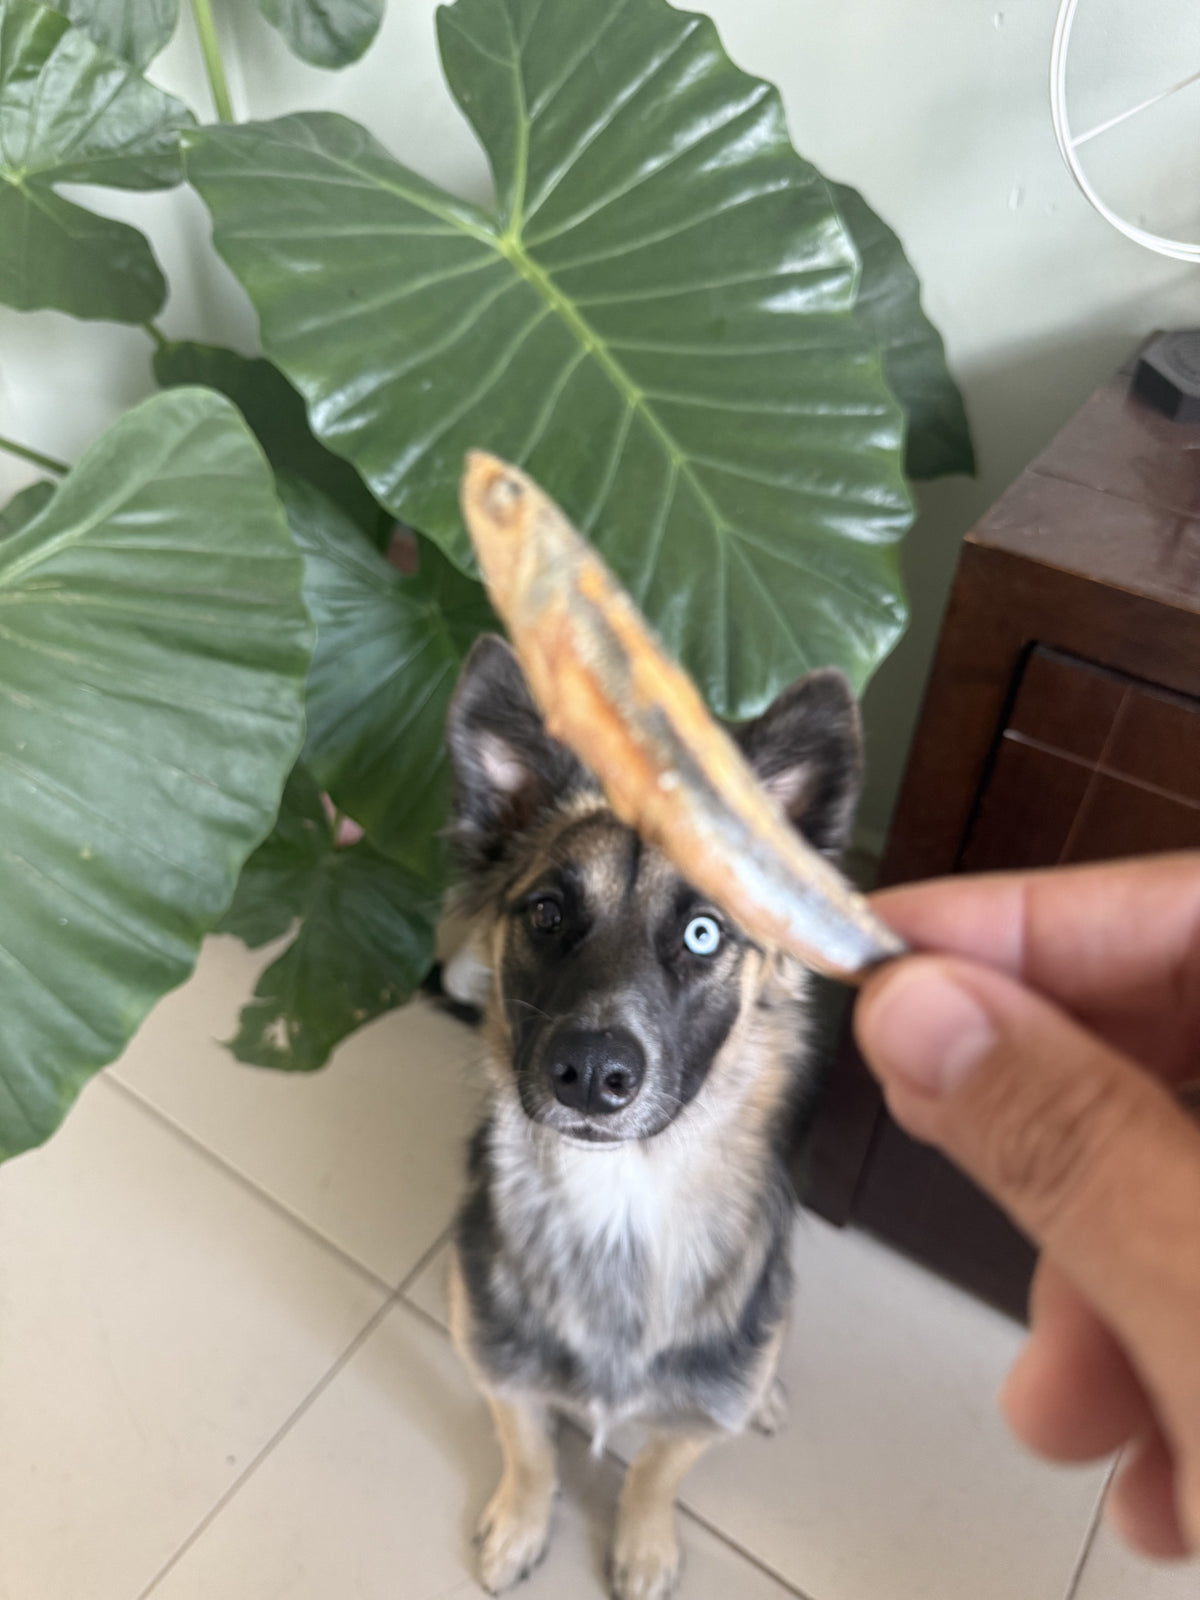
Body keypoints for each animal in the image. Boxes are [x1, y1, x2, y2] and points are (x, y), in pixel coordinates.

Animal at [441, 636, 864, 1600]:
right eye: (546, 912)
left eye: (705, 933)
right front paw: (522, 1522)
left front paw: (642, 1545)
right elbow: (530, 1450)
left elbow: (655, 1472)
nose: (591, 1075)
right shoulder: (492, 1362)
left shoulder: (697, 1418)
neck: (621, 1202)